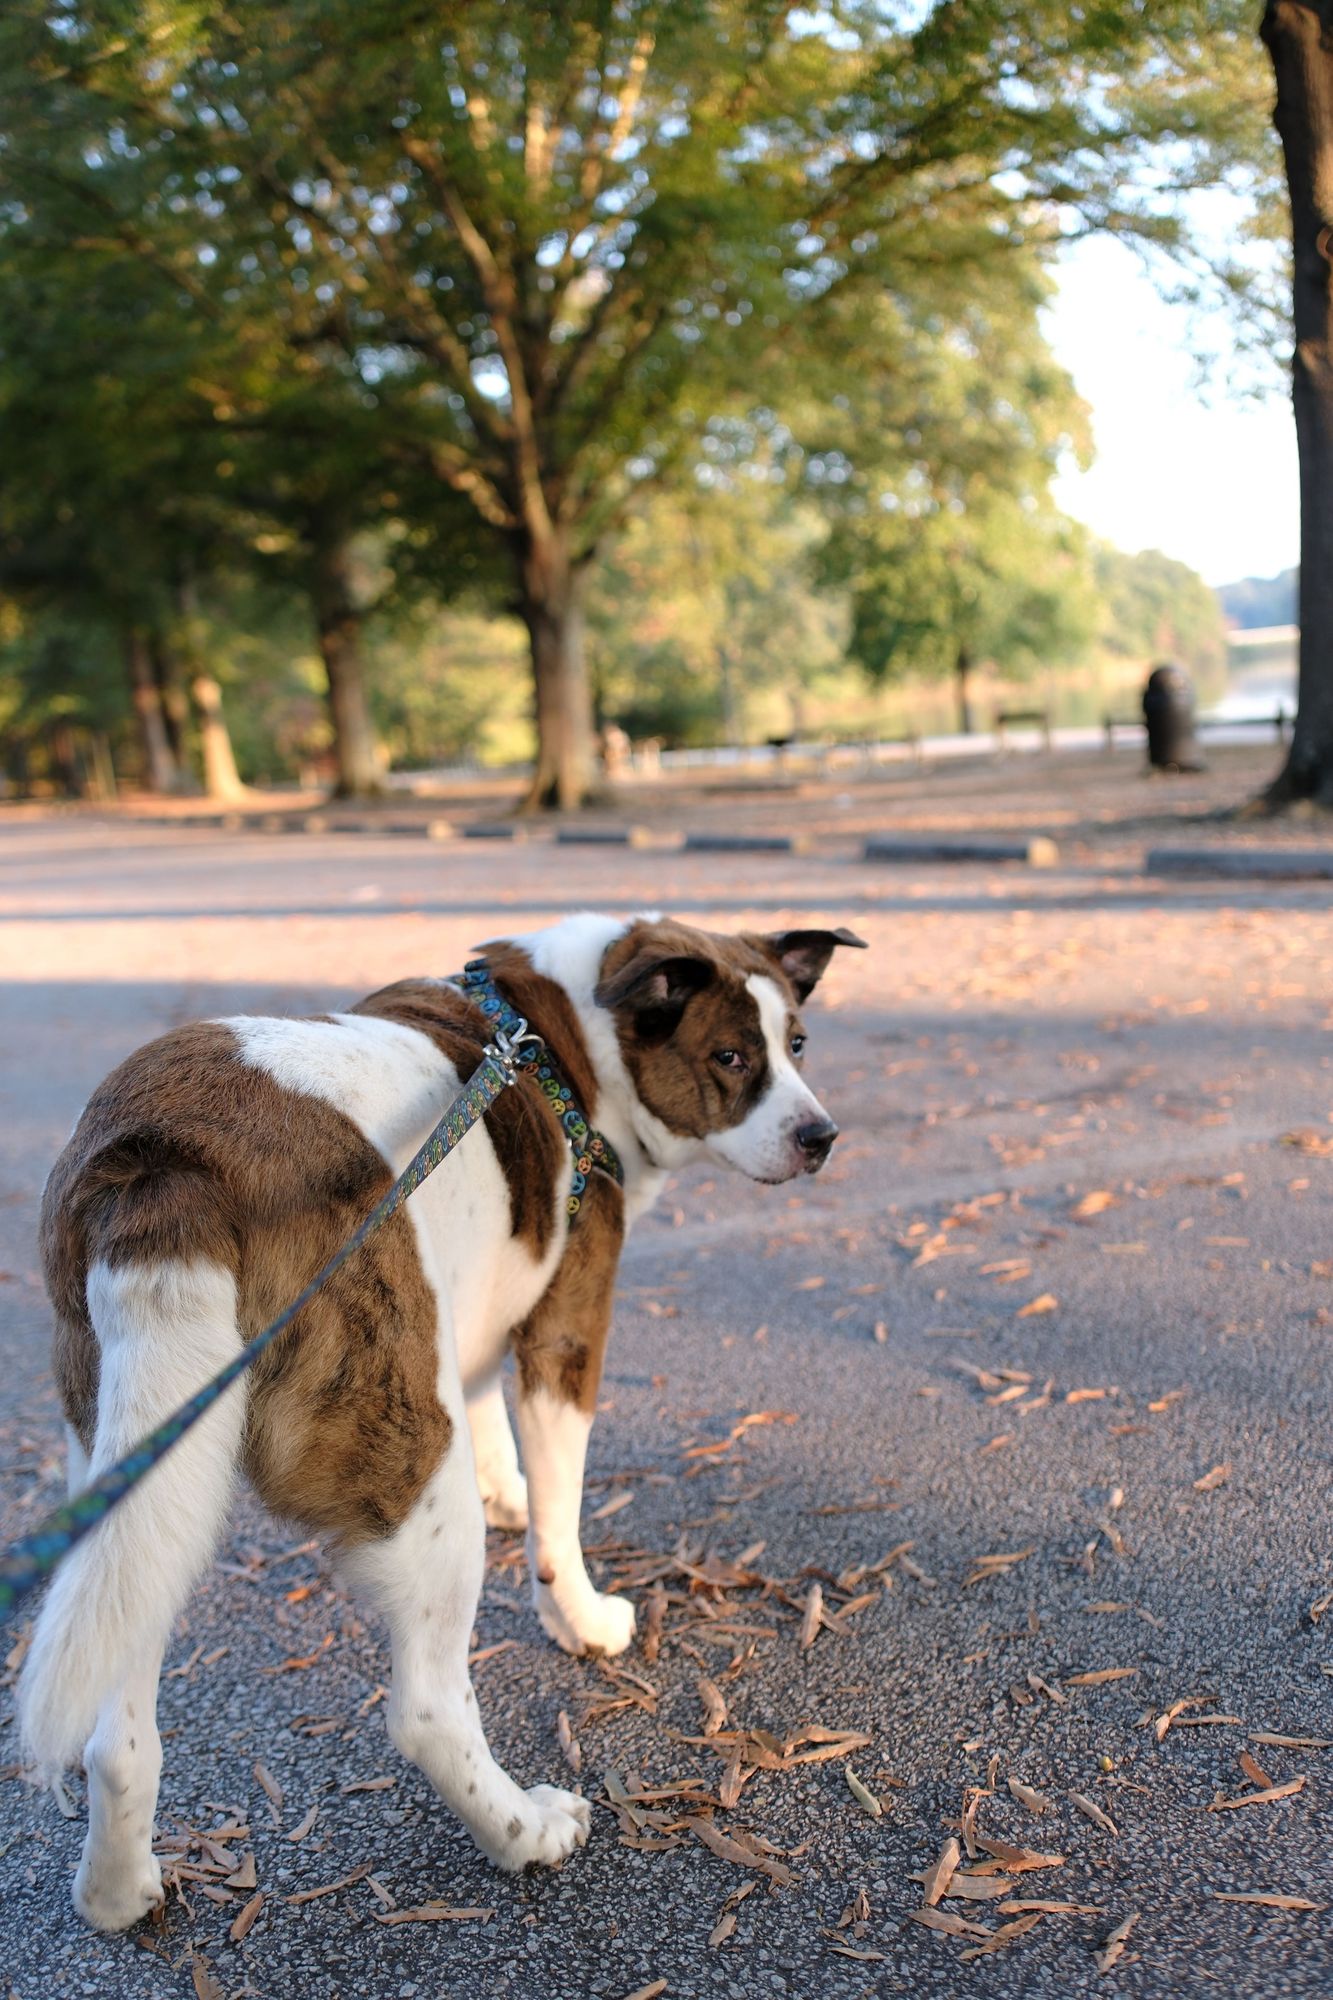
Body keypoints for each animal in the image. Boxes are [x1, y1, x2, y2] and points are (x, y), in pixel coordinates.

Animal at [20, 916, 868, 1928]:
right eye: (732, 1056)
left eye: (798, 1045)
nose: (820, 1137)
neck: (566, 1032)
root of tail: (175, 1162)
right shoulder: (565, 1333)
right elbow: (559, 1511)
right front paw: (578, 1615)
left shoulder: (469, 1320)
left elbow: (486, 1407)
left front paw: (507, 1487)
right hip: (415, 1469)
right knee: (426, 1708)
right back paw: (524, 1831)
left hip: (138, 1475)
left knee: (116, 1723)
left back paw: (115, 1892)